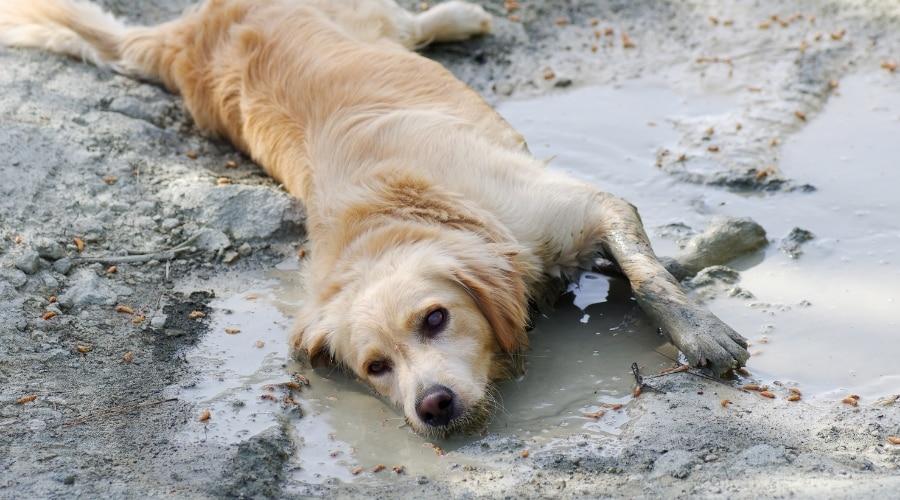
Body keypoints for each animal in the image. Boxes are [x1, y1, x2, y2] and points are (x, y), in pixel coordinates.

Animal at [0, 0, 748, 438]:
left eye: (436, 319)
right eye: (376, 367)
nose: (432, 405)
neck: (407, 211)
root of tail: (191, 27)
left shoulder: (585, 206)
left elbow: (648, 277)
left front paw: (703, 331)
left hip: (367, 18)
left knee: (408, 26)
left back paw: (463, 17)